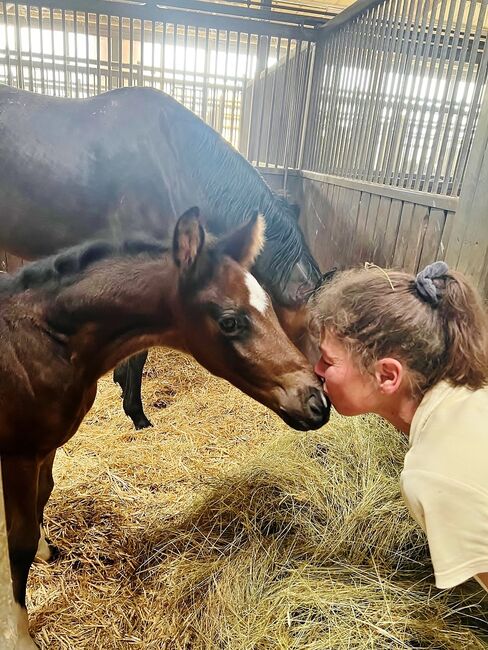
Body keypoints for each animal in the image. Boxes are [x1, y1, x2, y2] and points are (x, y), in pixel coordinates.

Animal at [1, 209, 330, 648]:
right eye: (229, 322)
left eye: (271, 308)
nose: (317, 403)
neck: (45, 340)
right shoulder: (18, 454)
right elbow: (17, 540)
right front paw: (19, 633)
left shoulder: (46, 446)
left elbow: (44, 496)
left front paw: (45, 549)